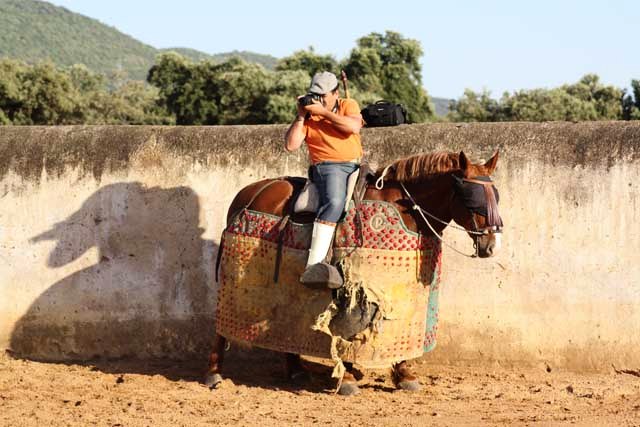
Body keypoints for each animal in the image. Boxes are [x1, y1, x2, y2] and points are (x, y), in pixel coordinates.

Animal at [202, 150, 502, 394]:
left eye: (495, 196)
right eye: (473, 198)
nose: (490, 245)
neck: (406, 209)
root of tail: (245, 195)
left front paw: (404, 375)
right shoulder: (357, 287)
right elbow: (350, 326)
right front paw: (347, 379)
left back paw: (296, 370)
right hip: (233, 275)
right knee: (221, 323)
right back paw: (214, 373)